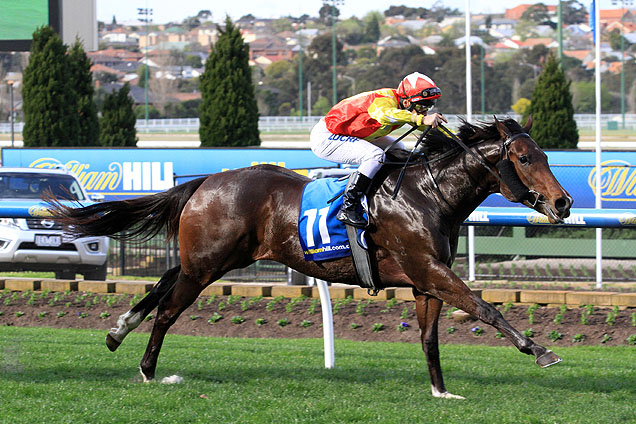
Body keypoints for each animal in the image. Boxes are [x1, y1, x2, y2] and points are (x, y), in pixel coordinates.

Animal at [48, 117, 572, 400]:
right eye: (525, 158)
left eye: (546, 155)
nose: (563, 202)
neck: (428, 194)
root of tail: (204, 181)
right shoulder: (430, 269)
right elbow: (485, 307)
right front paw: (539, 350)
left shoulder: (426, 279)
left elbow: (429, 338)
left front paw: (441, 391)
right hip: (208, 265)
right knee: (169, 309)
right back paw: (148, 369)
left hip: (210, 258)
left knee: (162, 285)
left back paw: (118, 332)